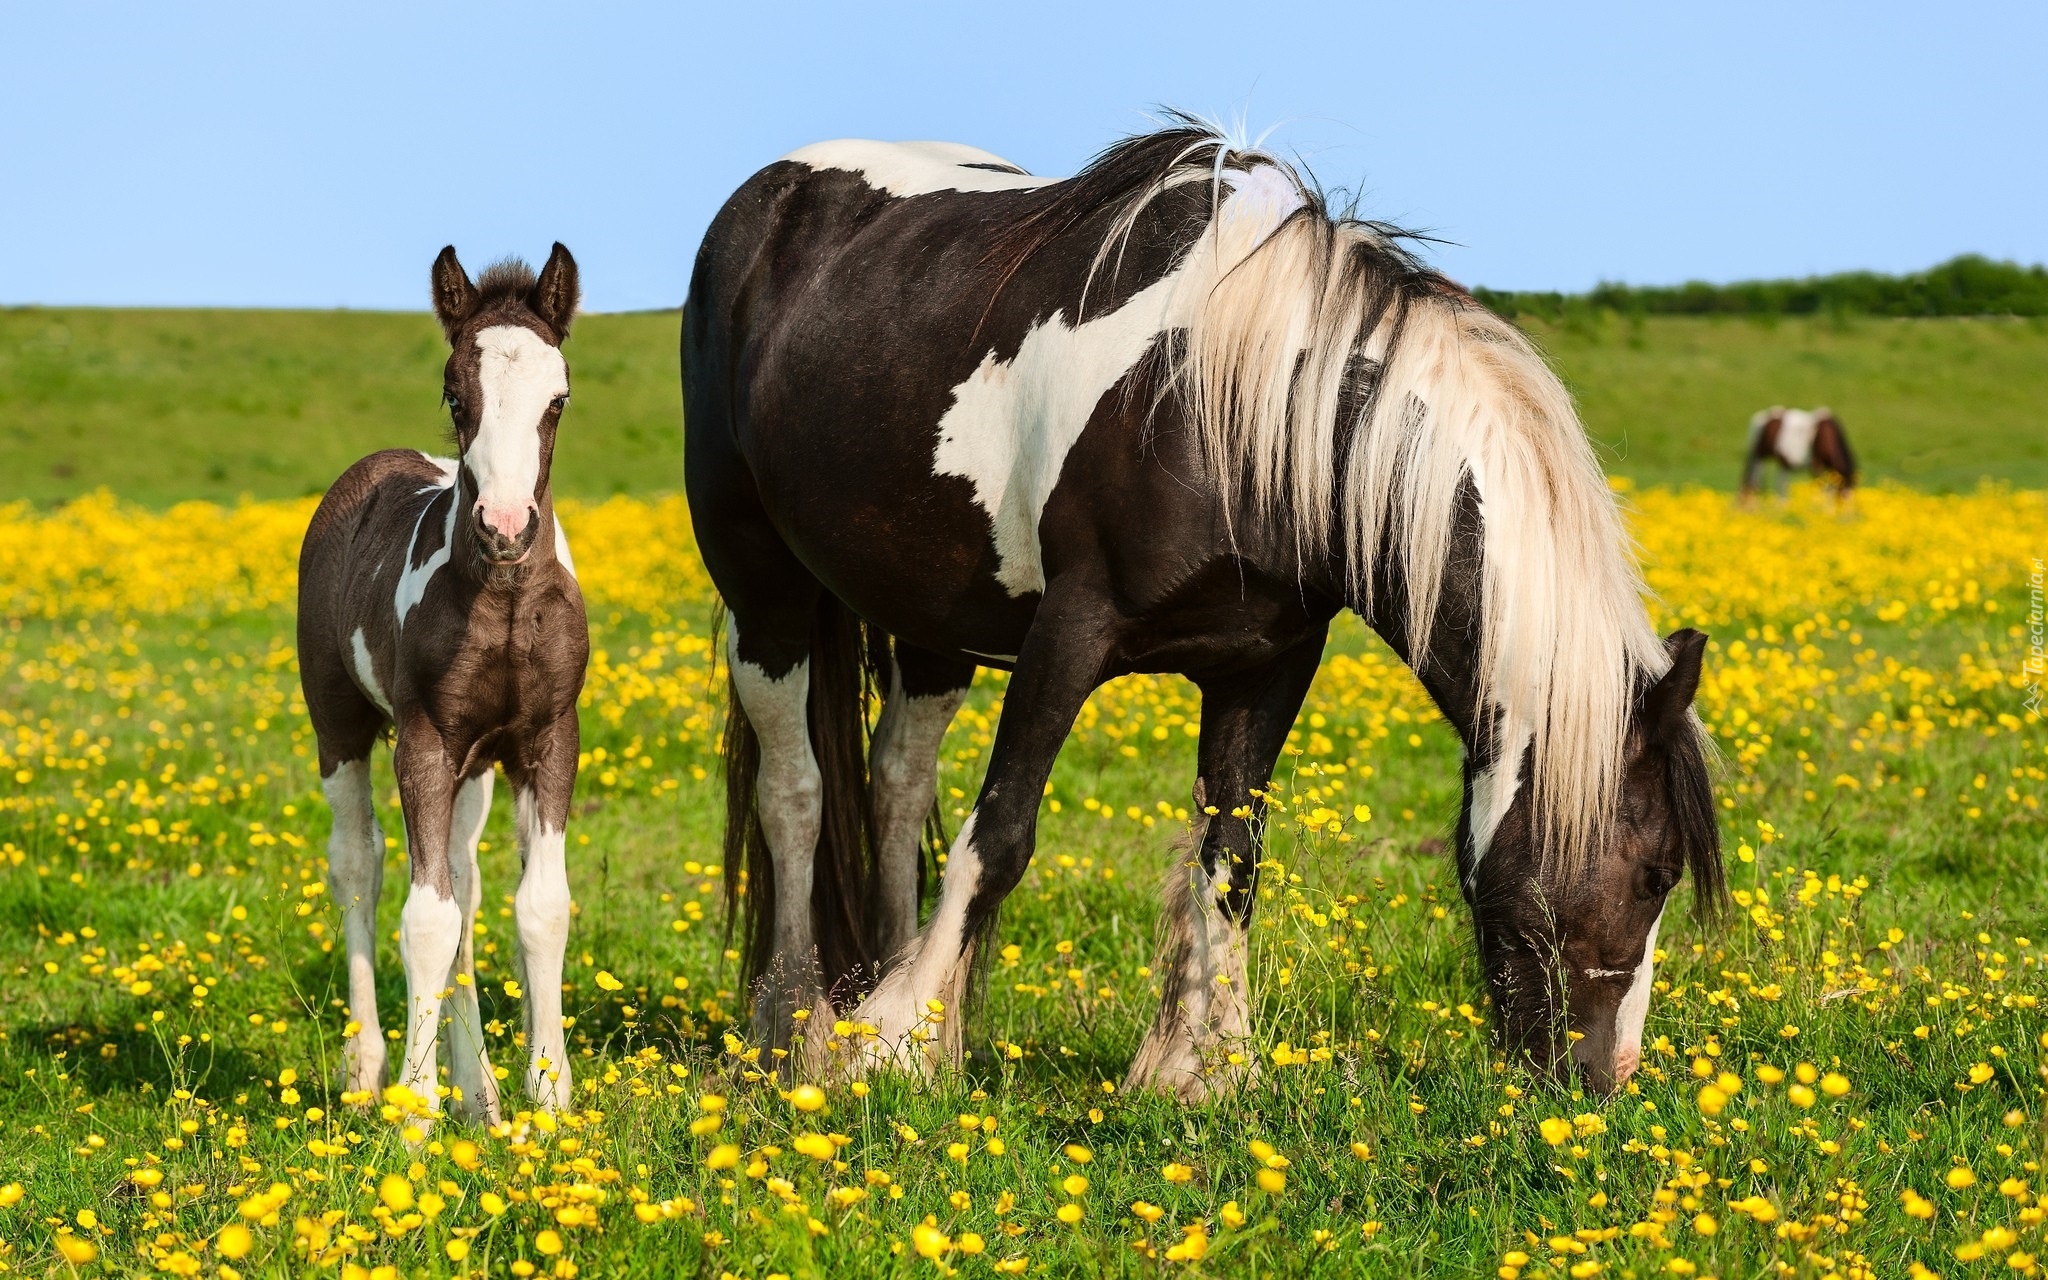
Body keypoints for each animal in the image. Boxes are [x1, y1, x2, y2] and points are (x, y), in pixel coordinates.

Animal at [303, 241, 593, 1114]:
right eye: (455, 393)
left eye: (558, 399)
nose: (505, 527)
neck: (502, 600)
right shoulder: (425, 743)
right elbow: (424, 919)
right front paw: (413, 1112)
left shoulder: (546, 740)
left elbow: (536, 907)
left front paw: (547, 1098)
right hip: (339, 726)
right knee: (358, 866)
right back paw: (366, 1071)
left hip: (476, 769)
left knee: (464, 884)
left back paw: (479, 1092)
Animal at [692, 124, 1728, 1089]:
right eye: (1655, 873)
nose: (1604, 1076)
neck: (1239, 409)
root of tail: (767, 196)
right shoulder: (1070, 630)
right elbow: (1000, 835)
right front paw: (887, 1044)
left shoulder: (1264, 662)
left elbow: (1231, 857)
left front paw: (1209, 1069)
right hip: (762, 591)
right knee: (796, 793)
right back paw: (794, 1023)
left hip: (934, 621)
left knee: (896, 783)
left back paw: (893, 996)